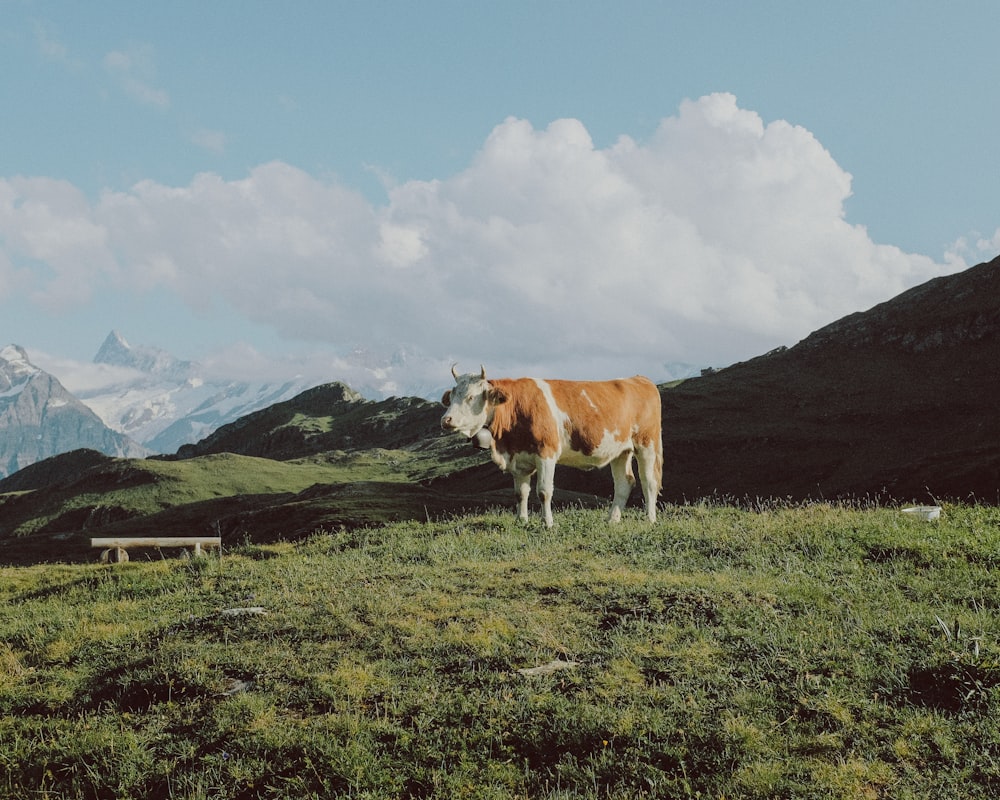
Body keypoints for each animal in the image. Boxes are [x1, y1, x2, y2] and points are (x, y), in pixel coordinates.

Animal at [440, 366, 664, 528]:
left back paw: (650, 519)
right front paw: (521, 521)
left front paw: (547, 523)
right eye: (451, 397)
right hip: (620, 450)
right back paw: (612, 520)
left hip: (647, 443)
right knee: (625, 482)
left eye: (471, 396)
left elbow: (544, 491)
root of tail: (639, 379)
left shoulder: (546, 452)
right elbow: (521, 493)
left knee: (649, 481)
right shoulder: (519, 458)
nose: (446, 420)